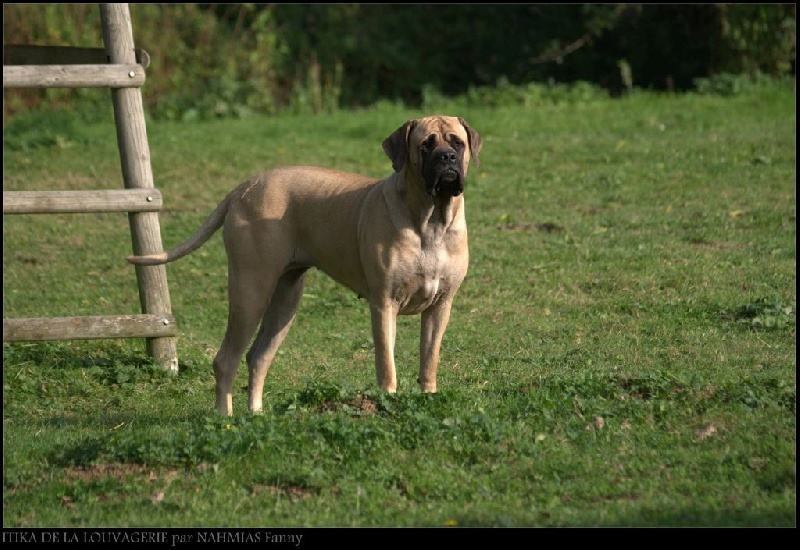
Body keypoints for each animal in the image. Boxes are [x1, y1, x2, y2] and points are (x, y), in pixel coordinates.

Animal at [128, 115, 482, 415]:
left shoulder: (440, 305)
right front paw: (387, 403)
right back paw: (223, 419)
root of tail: (245, 186)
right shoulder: (384, 304)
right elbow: (386, 363)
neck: (430, 220)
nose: (447, 159)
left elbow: (429, 359)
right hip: (250, 291)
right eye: (426, 145)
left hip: (286, 300)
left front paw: (428, 398)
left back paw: (255, 414)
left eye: (457, 143)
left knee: (258, 356)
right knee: (226, 359)